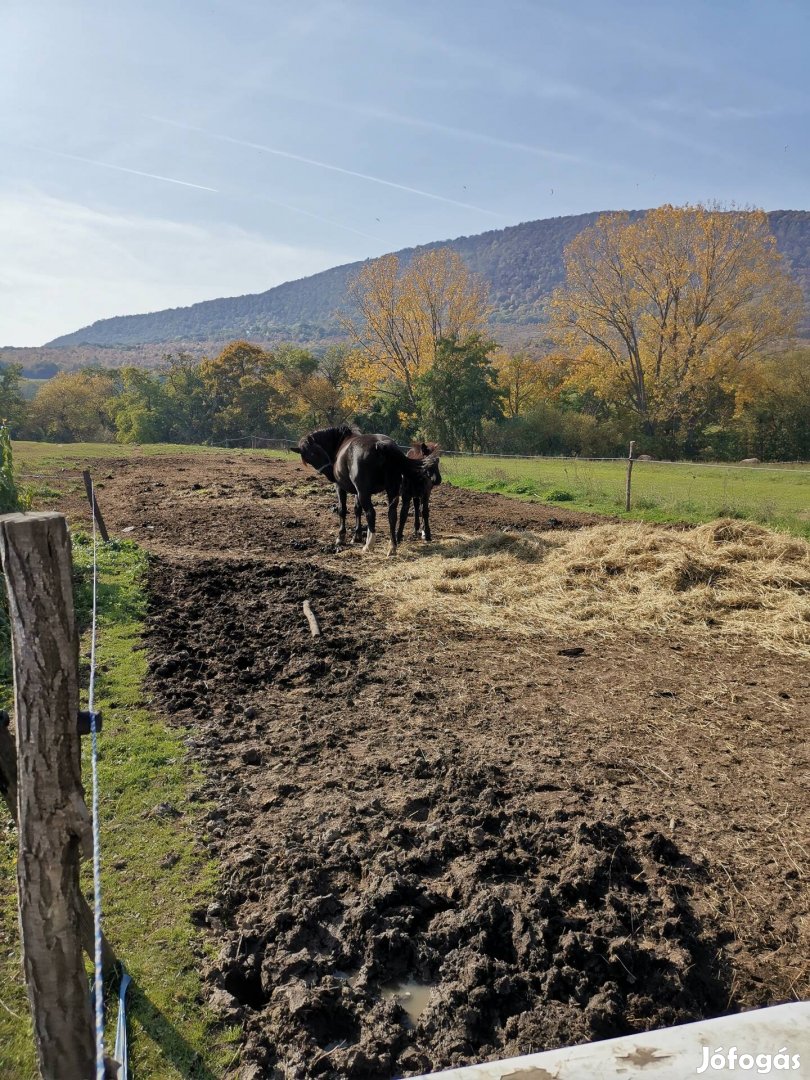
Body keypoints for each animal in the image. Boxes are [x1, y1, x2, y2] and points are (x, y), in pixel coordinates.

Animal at [298, 423, 438, 557]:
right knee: (392, 514)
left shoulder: (342, 487)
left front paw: (341, 537)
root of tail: (380, 445)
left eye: (315, 453)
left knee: (371, 513)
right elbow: (357, 510)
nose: (330, 474)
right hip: (391, 489)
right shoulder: (357, 492)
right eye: (309, 459)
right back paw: (392, 546)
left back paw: (369, 545)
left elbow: (342, 510)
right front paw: (357, 536)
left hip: (365, 493)